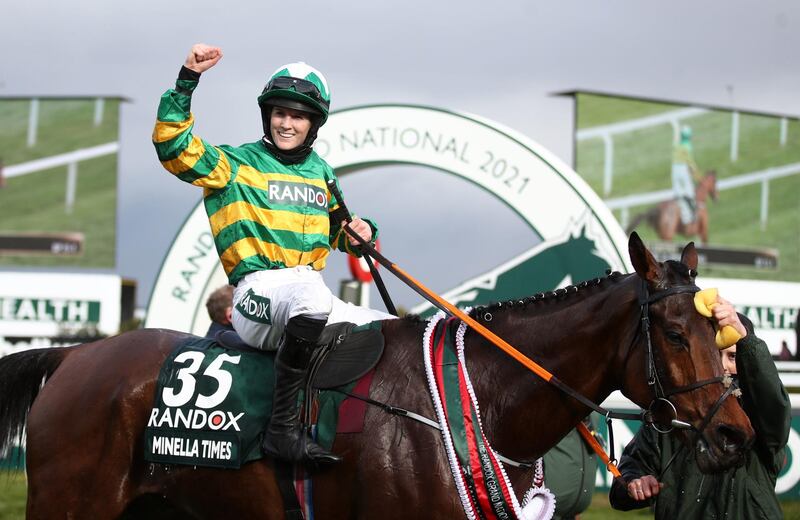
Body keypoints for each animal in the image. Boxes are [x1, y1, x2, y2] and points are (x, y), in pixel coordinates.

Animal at [0, 234, 752, 516]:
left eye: (723, 336)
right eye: (676, 334)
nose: (738, 436)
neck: (475, 402)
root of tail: (74, 356)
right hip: (72, 504)